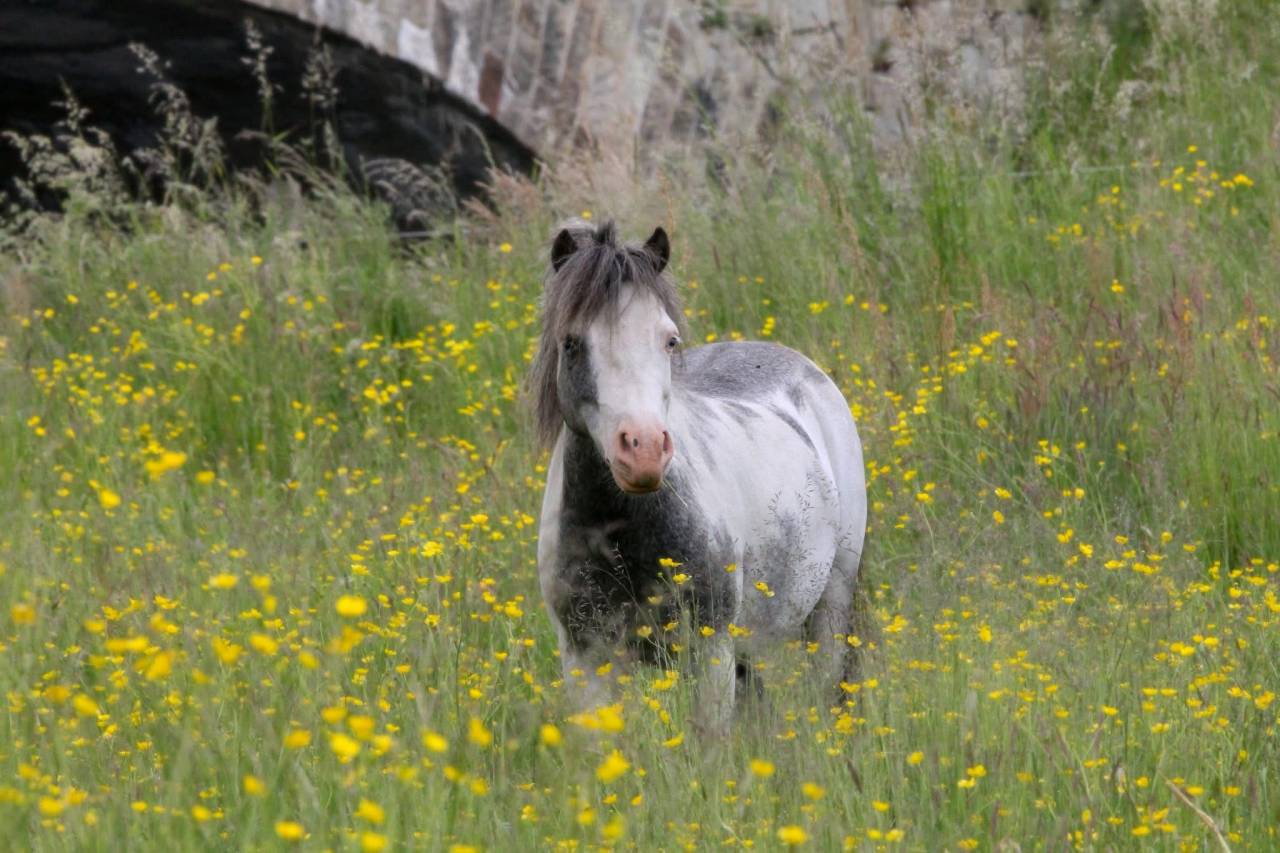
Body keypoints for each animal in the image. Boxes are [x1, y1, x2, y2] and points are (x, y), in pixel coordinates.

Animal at [531, 220, 867, 735]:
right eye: (571, 342)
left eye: (668, 340)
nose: (644, 451)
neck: (622, 535)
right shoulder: (587, 660)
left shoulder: (711, 651)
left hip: (832, 601)